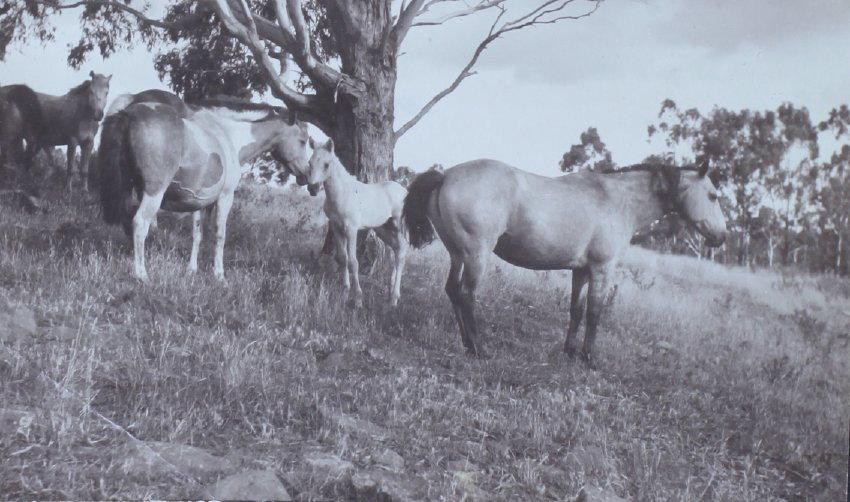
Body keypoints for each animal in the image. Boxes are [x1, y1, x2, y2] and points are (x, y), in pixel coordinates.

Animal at [98, 97, 310, 281]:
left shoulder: (199, 203)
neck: (229, 137)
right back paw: (142, 275)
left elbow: (197, 235)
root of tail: (129, 114)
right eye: (303, 140)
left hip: (129, 189)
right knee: (140, 223)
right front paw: (219, 275)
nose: (305, 175)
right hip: (153, 194)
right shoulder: (225, 198)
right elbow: (220, 235)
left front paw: (192, 270)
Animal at [304, 138, 408, 307]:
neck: (342, 194)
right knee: (397, 249)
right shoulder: (336, 227)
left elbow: (353, 261)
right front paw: (345, 291)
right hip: (383, 229)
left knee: (401, 253)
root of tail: (404, 191)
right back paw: (390, 291)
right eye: (310, 162)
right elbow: (343, 258)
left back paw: (394, 298)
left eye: (326, 164)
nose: (312, 188)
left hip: (398, 227)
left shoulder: (351, 229)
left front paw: (358, 298)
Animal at [403, 159, 728, 361]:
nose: (721, 237)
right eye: (712, 195)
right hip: (475, 255)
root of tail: (446, 175)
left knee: (453, 291)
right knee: (466, 295)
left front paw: (570, 351)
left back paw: (466, 343)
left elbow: (577, 310)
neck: (617, 201)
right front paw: (588, 357)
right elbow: (595, 313)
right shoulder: (602, 269)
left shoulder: (581, 271)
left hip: (458, 254)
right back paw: (478, 348)